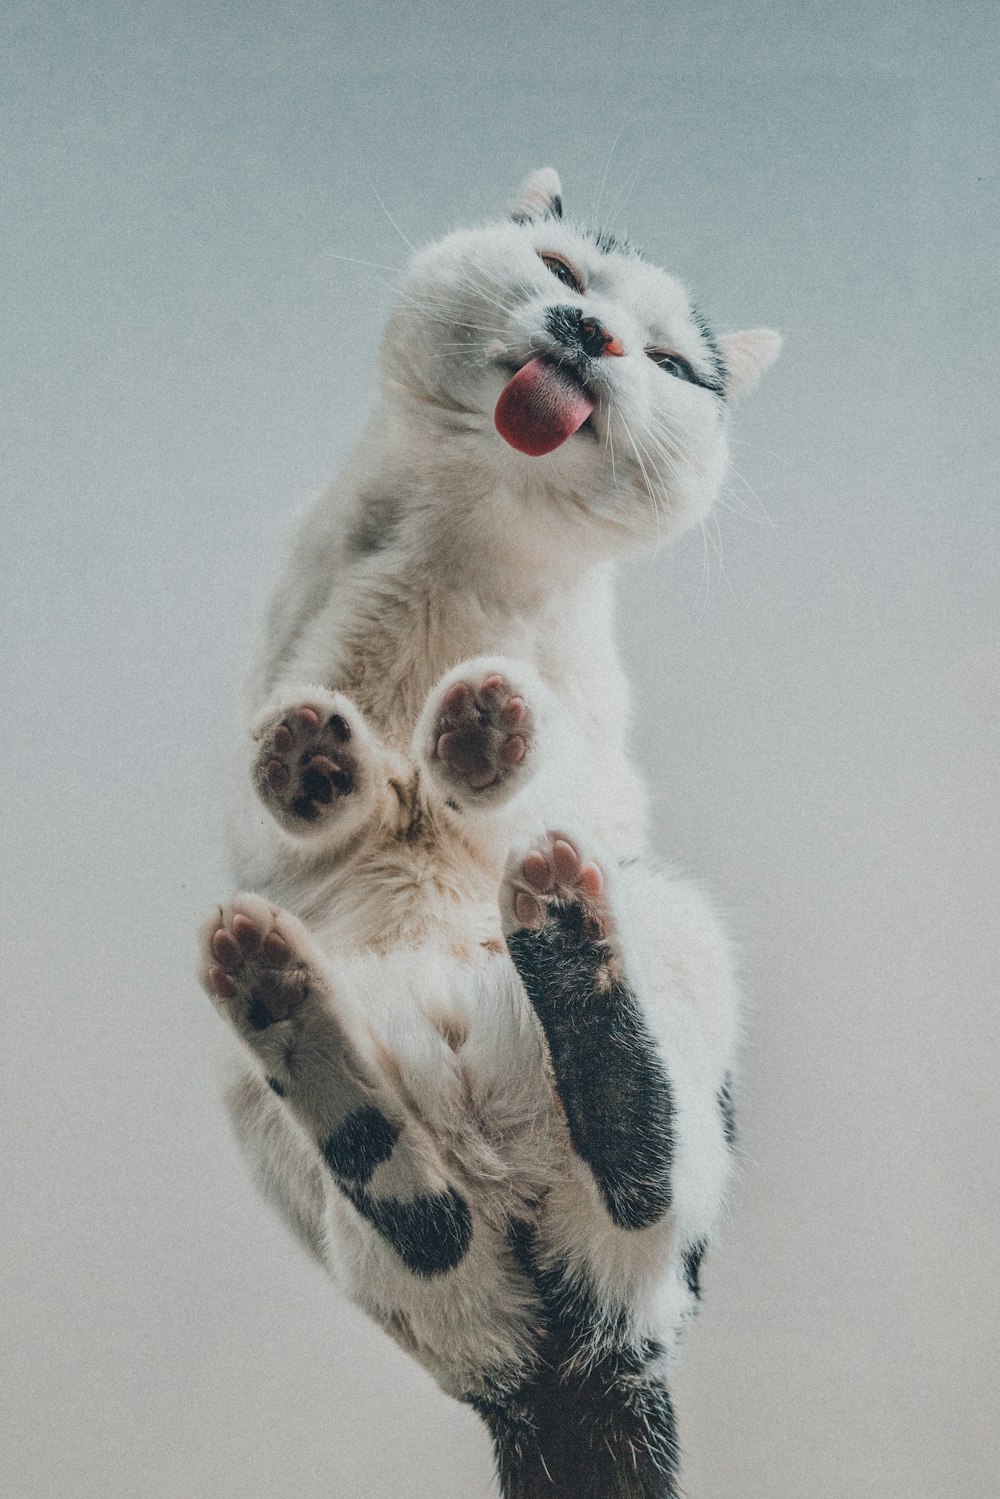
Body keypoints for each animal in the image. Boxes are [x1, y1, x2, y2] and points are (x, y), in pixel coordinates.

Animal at [197, 167, 779, 1499]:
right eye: (563, 273)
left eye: (669, 362)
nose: (592, 334)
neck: (457, 551)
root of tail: (565, 1367)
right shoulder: (269, 735)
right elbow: (282, 791)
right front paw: (317, 757)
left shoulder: (593, 749)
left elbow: (528, 756)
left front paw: (479, 729)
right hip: (278, 1126)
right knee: (420, 1213)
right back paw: (282, 993)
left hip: (671, 925)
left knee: (640, 1161)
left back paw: (556, 918)